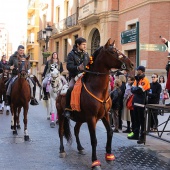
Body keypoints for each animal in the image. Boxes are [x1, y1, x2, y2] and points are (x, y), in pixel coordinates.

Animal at [56, 39, 134, 169]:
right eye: (113, 51)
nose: (131, 64)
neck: (97, 89)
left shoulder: (105, 115)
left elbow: (110, 132)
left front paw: (109, 155)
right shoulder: (91, 118)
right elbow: (94, 140)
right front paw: (95, 162)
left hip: (80, 118)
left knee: (76, 130)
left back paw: (80, 148)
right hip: (61, 114)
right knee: (61, 131)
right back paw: (61, 150)